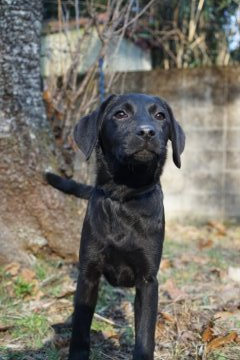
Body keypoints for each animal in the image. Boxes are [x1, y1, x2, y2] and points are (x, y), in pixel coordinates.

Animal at [46, 93, 186, 360]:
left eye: (160, 116)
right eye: (120, 114)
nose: (147, 132)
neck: (124, 196)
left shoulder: (148, 280)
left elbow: (145, 334)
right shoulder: (88, 272)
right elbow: (81, 323)